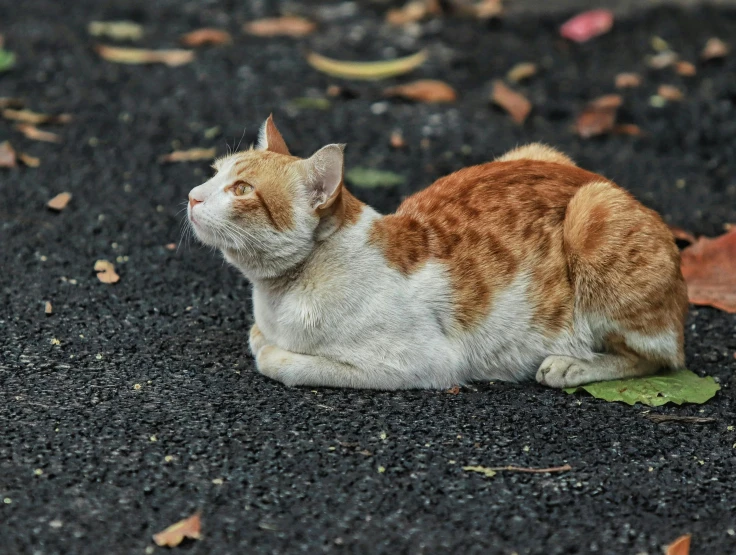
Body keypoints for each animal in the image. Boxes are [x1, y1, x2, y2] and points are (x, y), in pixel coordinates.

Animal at [187, 114, 688, 388]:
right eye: (214, 173)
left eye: (241, 189)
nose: (192, 195)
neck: (277, 297)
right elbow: (258, 337)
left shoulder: (418, 364)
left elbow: (280, 359)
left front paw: (274, 352)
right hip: (536, 152)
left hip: (593, 214)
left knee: (660, 357)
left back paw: (573, 365)